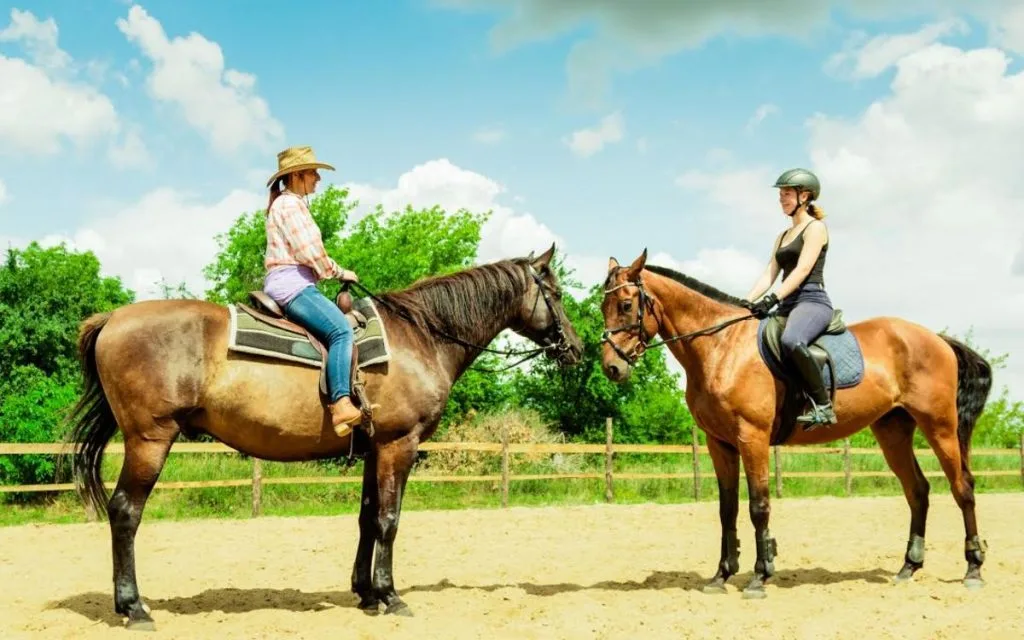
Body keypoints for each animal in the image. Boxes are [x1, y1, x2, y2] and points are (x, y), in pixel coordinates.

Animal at [63, 244, 583, 629]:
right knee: (125, 513)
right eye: (555, 293)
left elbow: (368, 518)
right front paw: (391, 596)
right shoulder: (400, 444)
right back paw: (134, 607)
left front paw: (366, 593)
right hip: (150, 440)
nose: (575, 348)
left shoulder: (375, 448)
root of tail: (112, 319)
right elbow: (390, 520)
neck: (422, 338)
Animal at [599, 248, 992, 599]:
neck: (722, 347)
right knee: (918, 491)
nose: (612, 368)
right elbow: (728, 508)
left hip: (939, 426)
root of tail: (937, 338)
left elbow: (758, 506)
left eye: (626, 305)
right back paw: (908, 567)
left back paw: (973, 569)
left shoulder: (752, 437)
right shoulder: (718, 443)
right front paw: (721, 576)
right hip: (892, 431)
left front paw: (760, 576)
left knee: (962, 488)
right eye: (604, 307)